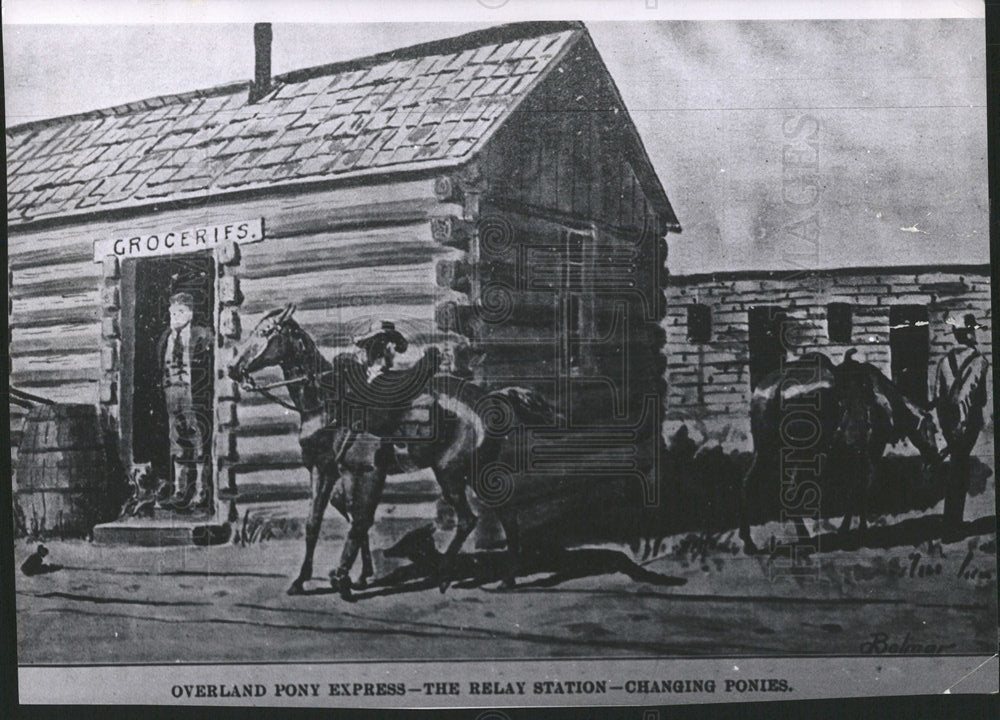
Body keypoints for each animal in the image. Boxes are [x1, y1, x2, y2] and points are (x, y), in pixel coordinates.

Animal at [228, 306, 560, 600]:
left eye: (266, 332)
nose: (233, 369)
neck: (325, 403)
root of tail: (492, 397)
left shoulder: (361, 472)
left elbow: (359, 518)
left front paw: (343, 578)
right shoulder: (322, 471)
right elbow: (317, 523)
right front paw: (310, 580)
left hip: (450, 472)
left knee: (468, 519)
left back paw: (445, 574)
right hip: (478, 472)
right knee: (506, 515)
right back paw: (506, 578)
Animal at [740, 352, 940, 556]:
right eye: (934, 428)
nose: (935, 458)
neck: (887, 401)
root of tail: (775, 388)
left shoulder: (854, 454)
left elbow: (855, 490)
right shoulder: (872, 451)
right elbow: (861, 490)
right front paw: (855, 532)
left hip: (766, 448)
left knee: (749, 483)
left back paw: (749, 543)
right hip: (798, 452)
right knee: (789, 491)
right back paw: (803, 539)